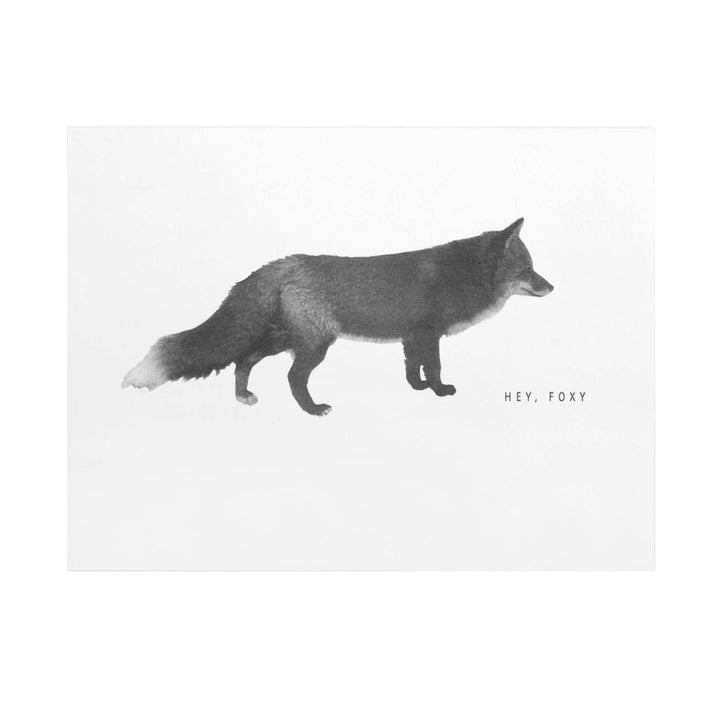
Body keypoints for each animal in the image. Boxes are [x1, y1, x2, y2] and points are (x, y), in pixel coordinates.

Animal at [122, 218, 553, 415]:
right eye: (529, 269)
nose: (552, 287)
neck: (461, 276)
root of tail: (283, 263)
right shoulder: (429, 334)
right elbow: (433, 368)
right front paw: (439, 391)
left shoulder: (412, 336)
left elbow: (411, 367)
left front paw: (416, 390)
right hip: (313, 346)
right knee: (292, 378)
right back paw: (312, 410)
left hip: (285, 339)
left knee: (244, 360)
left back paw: (243, 396)